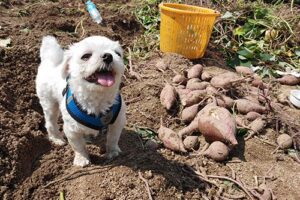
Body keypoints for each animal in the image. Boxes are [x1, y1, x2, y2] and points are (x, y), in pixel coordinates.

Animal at [35, 35, 126, 166]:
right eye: (86, 56)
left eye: (117, 53)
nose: (108, 56)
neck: (98, 99)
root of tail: (50, 60)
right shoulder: (71, 130)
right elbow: (78, 146)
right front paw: (82, 159)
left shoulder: (118, 121)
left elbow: (113, 139)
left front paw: (113, 152)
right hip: (49, 103)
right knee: (50, 122)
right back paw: (56, 138)